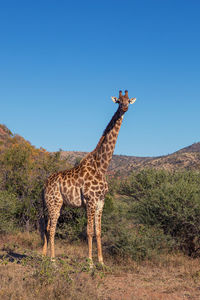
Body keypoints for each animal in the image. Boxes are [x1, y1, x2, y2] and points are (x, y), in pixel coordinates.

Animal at [42, 89, 136, 264]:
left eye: (128, 101)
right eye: (119, 101)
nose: (125, 108)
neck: (102, 166)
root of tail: (44, 185)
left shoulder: (100, 202)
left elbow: (98, 231)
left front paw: (101, 262)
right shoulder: (90, 201)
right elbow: (89, 231)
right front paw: (91, 262)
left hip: (55, 204)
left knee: (46, 226)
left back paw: (43, 256)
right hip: (54, 203)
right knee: (52, 228)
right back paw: (52, 260)